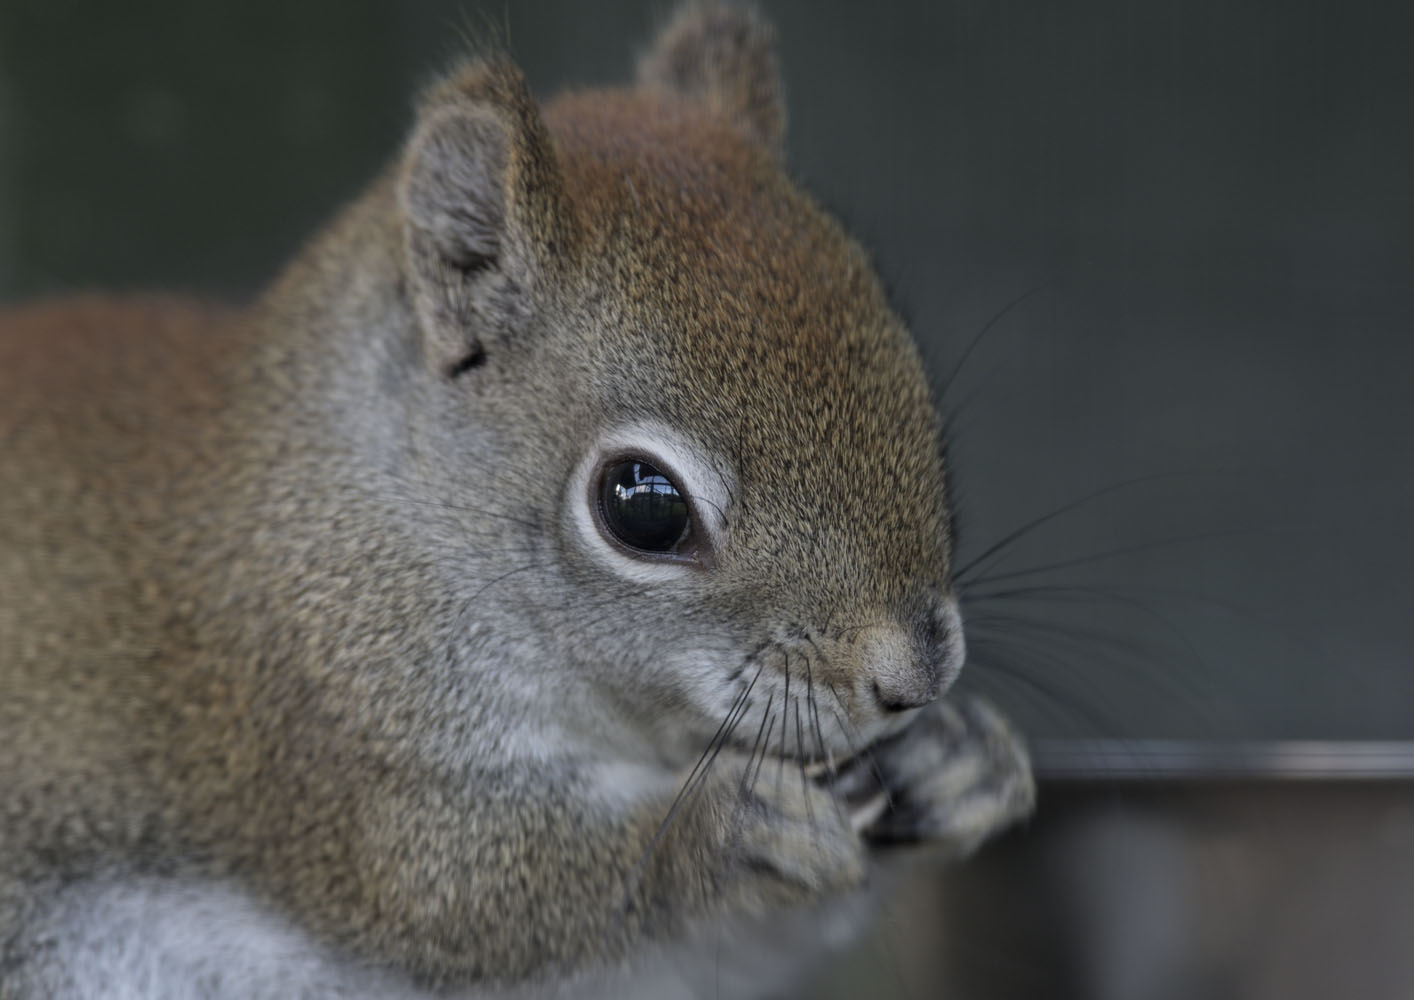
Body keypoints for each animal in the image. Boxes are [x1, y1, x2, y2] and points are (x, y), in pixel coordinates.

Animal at [0, 2, 1034, 997]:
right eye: (644, 507)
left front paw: (959, 761)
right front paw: (723, 830)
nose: (914, 679)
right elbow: (446, 888)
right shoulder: (303, 733)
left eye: (910, 379)